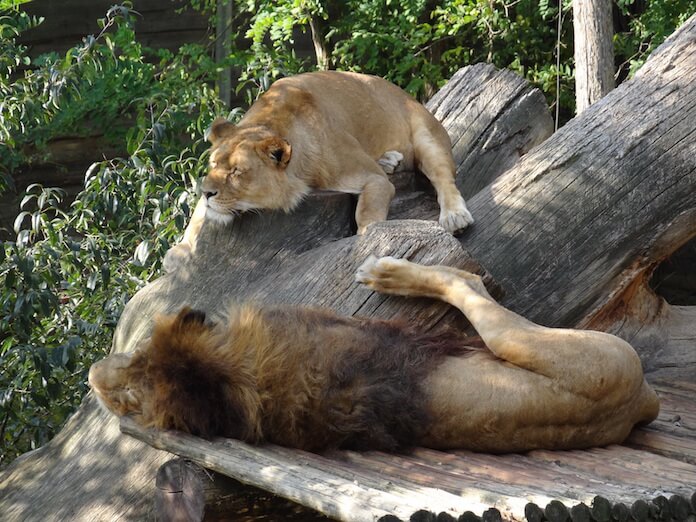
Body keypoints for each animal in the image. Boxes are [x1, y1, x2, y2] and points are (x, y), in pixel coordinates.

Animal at [88, 254, 656, 448]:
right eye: (132, 395)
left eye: (136, 356)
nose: (92, 374)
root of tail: (637, 403)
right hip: (553, 346)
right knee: (469, 285)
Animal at [166, 70, 476, 270]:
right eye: (213, 165)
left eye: (237, 172)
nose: (207, 192)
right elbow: (196, 216)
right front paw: (178, 252)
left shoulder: (374, 180)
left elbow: (367, 212)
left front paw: (368, 239)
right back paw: (389, 159)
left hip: (427, 136)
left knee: (445, 180)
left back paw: (454, 216)